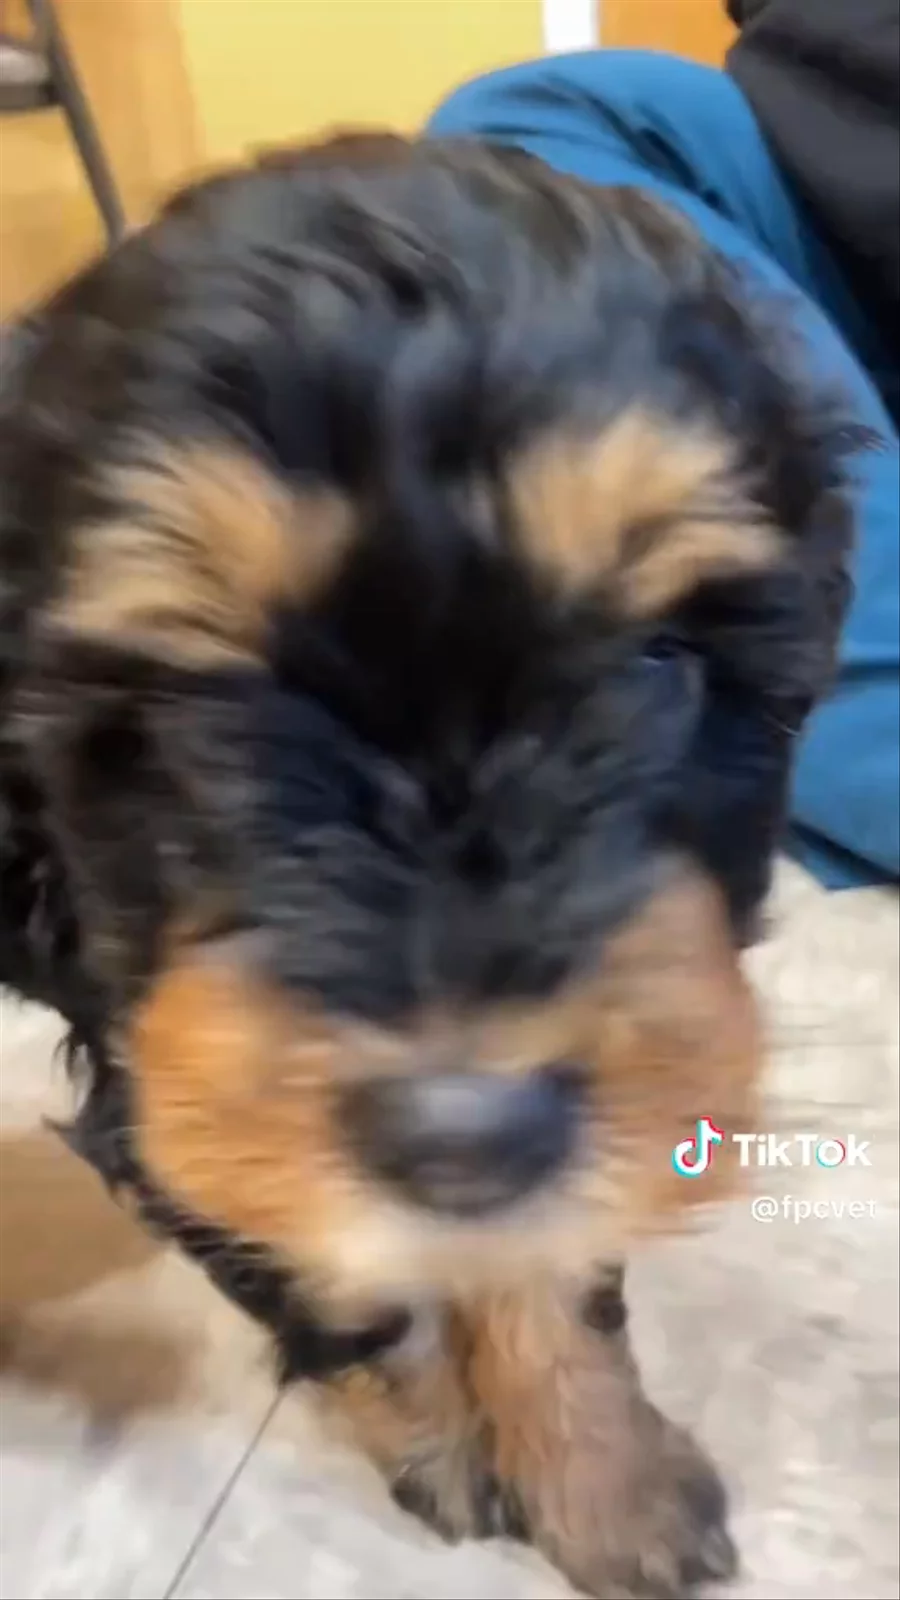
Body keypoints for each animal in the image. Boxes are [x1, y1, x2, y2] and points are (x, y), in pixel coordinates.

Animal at [0, 131, 858, 1597]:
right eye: (198, 713)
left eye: (655, 666)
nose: (464, 1133)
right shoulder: (158, 1066)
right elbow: (340, 1271)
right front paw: (443, 1438)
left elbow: (542, 1253)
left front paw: (600, 1472)